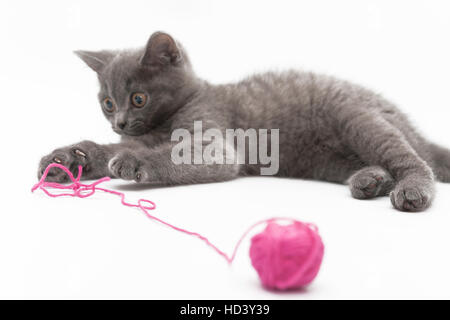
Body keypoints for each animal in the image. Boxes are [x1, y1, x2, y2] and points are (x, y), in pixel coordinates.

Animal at [37, 31, 450, 212]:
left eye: (138, 98)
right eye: (107, 103)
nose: (120, 122)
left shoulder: (214, 140)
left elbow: (172, 153)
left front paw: (132, 162)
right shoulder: (137, 136)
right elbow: (103, 148)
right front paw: (66, 158)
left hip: (358, 117)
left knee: (414, 159)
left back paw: (411, 189)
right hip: (327, 158)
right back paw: (370, 180)